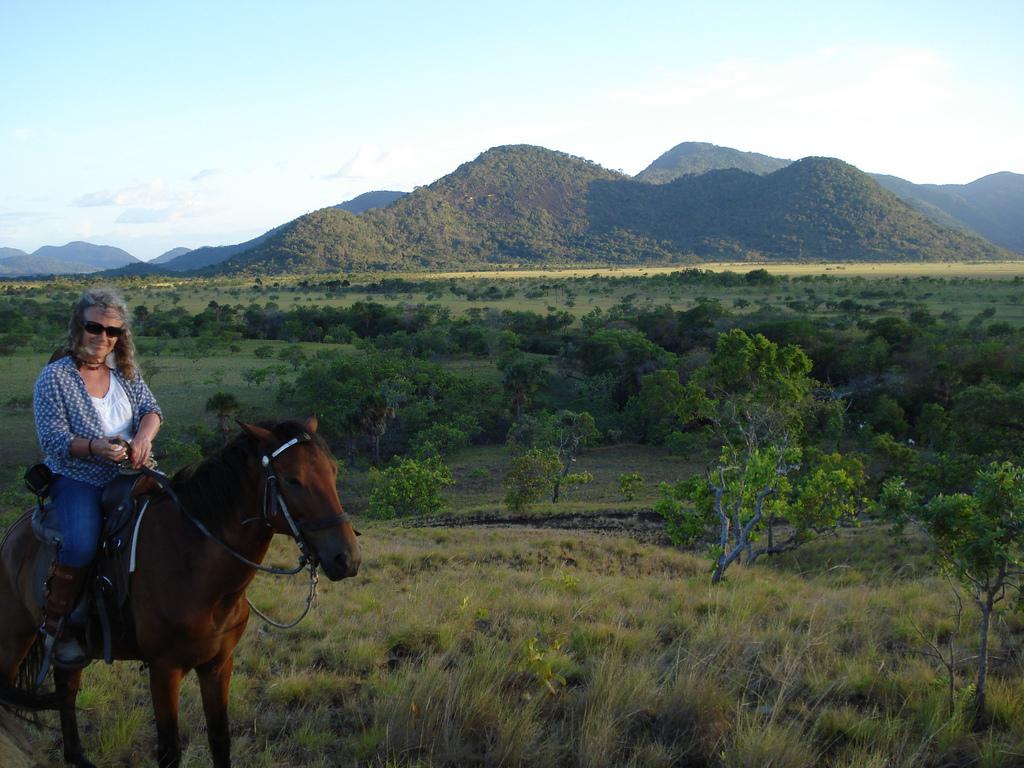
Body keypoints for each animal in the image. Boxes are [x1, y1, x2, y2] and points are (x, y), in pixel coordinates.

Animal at [0, 417, 360, 765]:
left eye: (333, 471)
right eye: (292, 480)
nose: (347, 559)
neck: (195, 565)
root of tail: (15, 531)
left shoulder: (218, 664)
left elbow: (220, 739)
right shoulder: (164, 669)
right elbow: (170, 750)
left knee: (66, 689)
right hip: (15, 637)